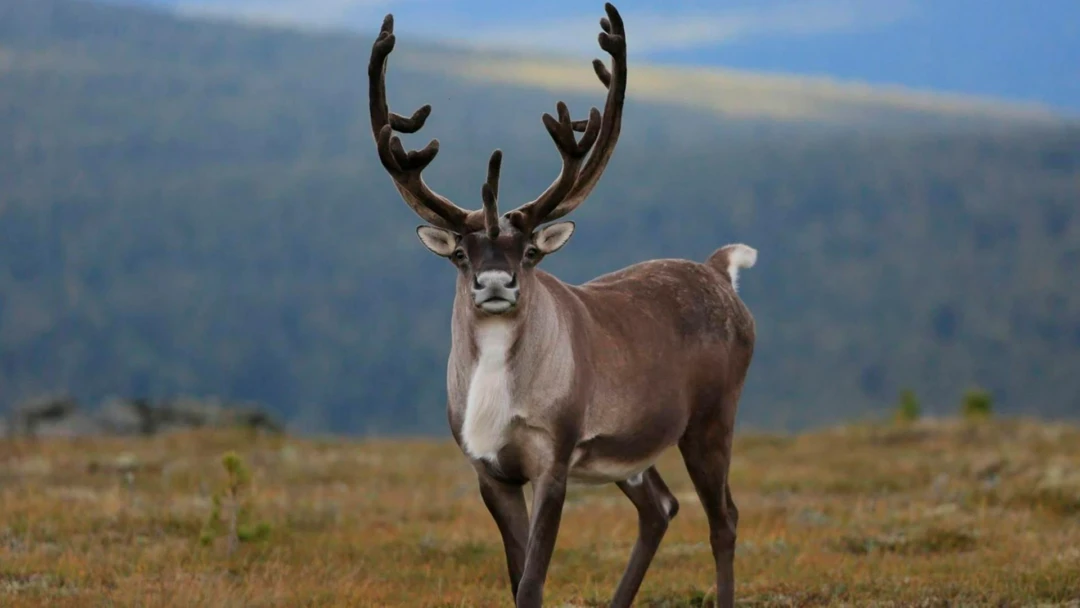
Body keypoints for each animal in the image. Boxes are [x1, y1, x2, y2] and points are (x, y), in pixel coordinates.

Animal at [367, 4, 757, 607]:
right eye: (460, 253)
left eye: (529, 251)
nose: (496, 282)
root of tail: (719, 269)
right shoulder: (490, 471)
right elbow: (517, 575)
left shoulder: (554, 461)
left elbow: (532, 581)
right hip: (630, 453)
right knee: (661, 508)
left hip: (712, 418)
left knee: (725, 519)